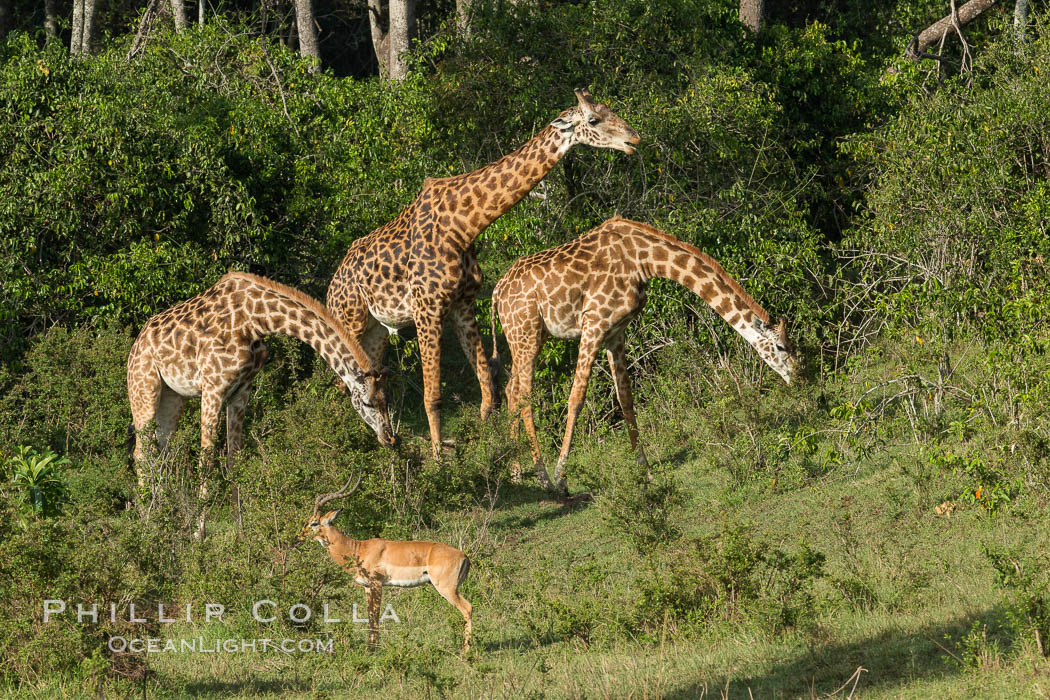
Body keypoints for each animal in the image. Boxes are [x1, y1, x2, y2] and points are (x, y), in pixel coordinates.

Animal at [127, 270, 394, 533]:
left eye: (386, 401)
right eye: (368, 403)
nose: (391, 439)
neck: (256, 320)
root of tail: (135, 346)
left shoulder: (241, 389)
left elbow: (234, 459)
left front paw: (240, 531)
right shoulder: (212, 387)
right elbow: (207, 459)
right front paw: (198, 532)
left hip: (173, 397)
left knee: (159, 452)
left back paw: (163, 516)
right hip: (144, 388)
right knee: (141, 452)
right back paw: (148, 521)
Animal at [325, 87, 638, 457]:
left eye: (610, 110)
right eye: (593, 119)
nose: (633, 139)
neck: (465, 225)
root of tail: (332, 286)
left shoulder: (463, 304)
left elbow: (488, 388)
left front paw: (495, 449)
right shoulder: (427, 309)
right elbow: (434, 396)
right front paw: (440, 459)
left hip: (375, 331)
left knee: (363, 384)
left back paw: (381, 443)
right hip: (349, 322)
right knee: (340, 384)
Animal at [489, 219, 793, 493]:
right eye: (781, 347)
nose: (798, 377)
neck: (644, 260)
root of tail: (495, 293)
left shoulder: (615, 333)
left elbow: (626, 399)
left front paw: (644, 468)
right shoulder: (593, 323)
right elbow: (576, 397)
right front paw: (561, 477)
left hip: (527, 337)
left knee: (511, 390)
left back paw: (516, 473)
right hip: (526, 333)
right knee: (524, 396)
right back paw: (542, 476)